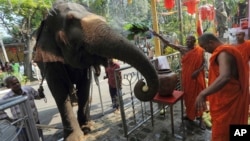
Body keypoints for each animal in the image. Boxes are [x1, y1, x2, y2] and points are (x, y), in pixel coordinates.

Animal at [32, 1, 158, 141]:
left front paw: (88, 128)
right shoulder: (49, 62)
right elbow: (59, 91)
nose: (143, 84)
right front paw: (74, 137)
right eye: (70, 21)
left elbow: (84, 86)